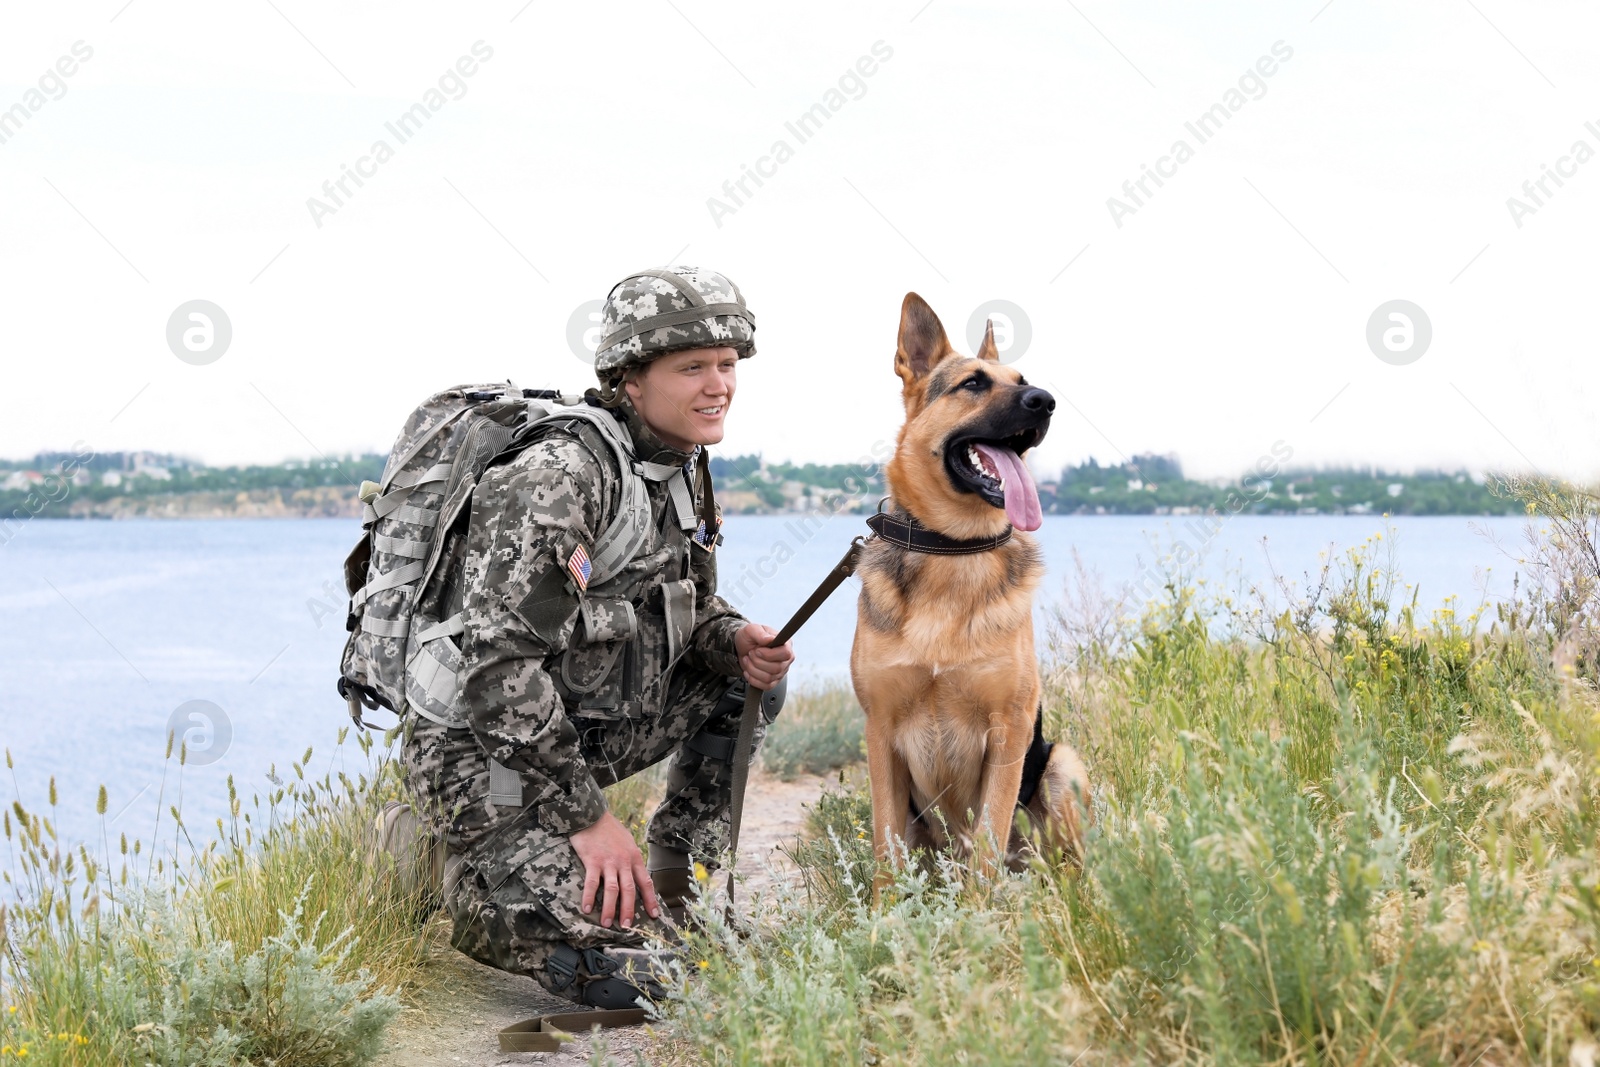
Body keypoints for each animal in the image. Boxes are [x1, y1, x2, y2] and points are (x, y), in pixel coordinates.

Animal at [851, 294, 1088, 895]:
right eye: (973, 384)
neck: (955, 550)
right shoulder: (880, 734)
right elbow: (887, 850)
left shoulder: (1009, 731)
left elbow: (987, 841)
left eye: (1023, 380)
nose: (1046, 401)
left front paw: (983, 913)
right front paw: (885, 916)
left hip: (1061, 765)